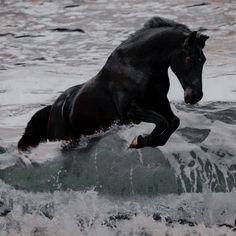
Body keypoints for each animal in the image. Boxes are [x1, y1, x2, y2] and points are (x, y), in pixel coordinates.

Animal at [18, 16, 208, 150]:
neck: (138, 67)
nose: (195, 96)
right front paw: (138, 141)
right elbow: (162, 121)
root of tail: (53, 108)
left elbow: (173, 121)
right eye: (190, 59)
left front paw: (151, 142)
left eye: (204, 60)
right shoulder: (130, 111)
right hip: (62, 137)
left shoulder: (159, 102)